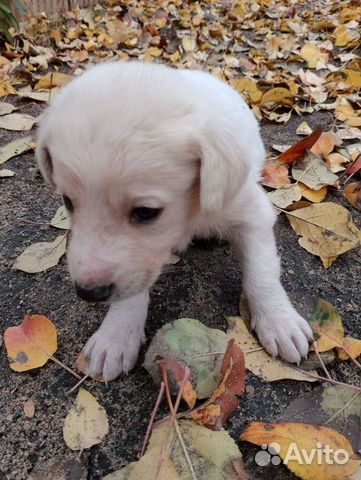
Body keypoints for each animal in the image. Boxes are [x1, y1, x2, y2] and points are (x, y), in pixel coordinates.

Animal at [35, 62, 312, 380]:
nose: (88, 293)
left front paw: (280, 320)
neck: (191, 213)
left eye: (146, 212)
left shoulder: (252, 213)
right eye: (68, 202)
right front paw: (117, 334)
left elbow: (261, 273)